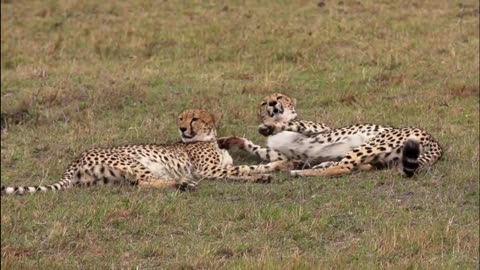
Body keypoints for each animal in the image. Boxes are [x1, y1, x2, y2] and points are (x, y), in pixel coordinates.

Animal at [0, 108, 292, 195]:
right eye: (181, 118)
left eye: (194, 119)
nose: (182, 129)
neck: (207, 138)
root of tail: (76, 157)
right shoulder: (210, 171)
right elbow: (244, 169)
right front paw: (267, 172)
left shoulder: (218, 168)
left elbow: (248, 166)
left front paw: (275, 168)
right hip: (132, 161)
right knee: (143, 183)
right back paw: (183, 183)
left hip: (111, 177)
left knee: (139, 184)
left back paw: (182, 183)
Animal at [218, 93, 442, 177]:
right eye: (264, 102)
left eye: (280, 96)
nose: (273, 103)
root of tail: (433, 138)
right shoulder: (281, 154)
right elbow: (259, 149)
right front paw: (229, 141)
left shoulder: (317, 128)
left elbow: (293, 123)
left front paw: (268, 127)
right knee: (353, 165)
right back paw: (314, 166)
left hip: (372, 143)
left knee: (344, 167)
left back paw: (302, 172)